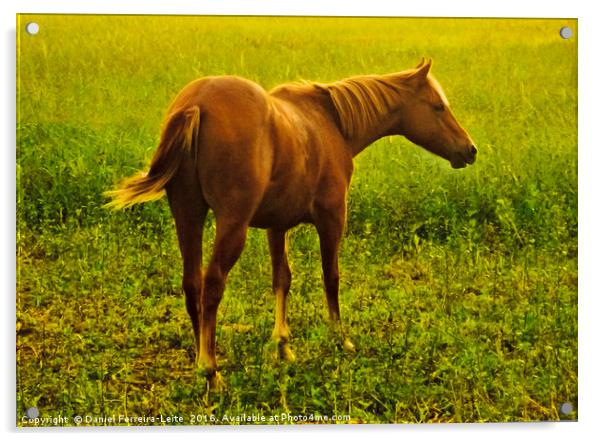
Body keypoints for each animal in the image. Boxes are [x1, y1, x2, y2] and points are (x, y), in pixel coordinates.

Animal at [105, 58, 476, 388]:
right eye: (438, 107)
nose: (469, 150)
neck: (332, 122)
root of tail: (196, 104)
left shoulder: (276, 226)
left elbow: (282, 279)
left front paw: (283, 345)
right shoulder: (332, 218)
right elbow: (331, 278)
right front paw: (340, 339)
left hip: (188, 215)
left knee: (192, 284)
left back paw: (201, 357)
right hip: (232, 225)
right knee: (212, 285)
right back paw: (210, 371)